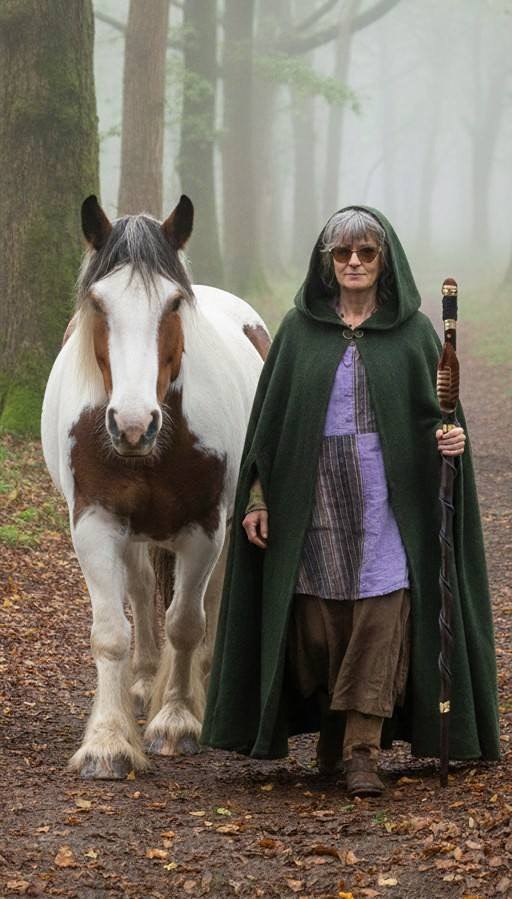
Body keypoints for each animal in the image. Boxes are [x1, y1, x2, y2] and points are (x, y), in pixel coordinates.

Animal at [41, 194, 270, 779]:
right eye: (99, 303)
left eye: (171, 305)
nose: (132, 424)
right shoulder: (95, 524)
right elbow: (110, 633)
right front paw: (107, 742)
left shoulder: (204, 528)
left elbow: (186, 622)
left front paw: (177, 721)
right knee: (143, 591)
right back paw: (144, 683)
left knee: (204, 601)